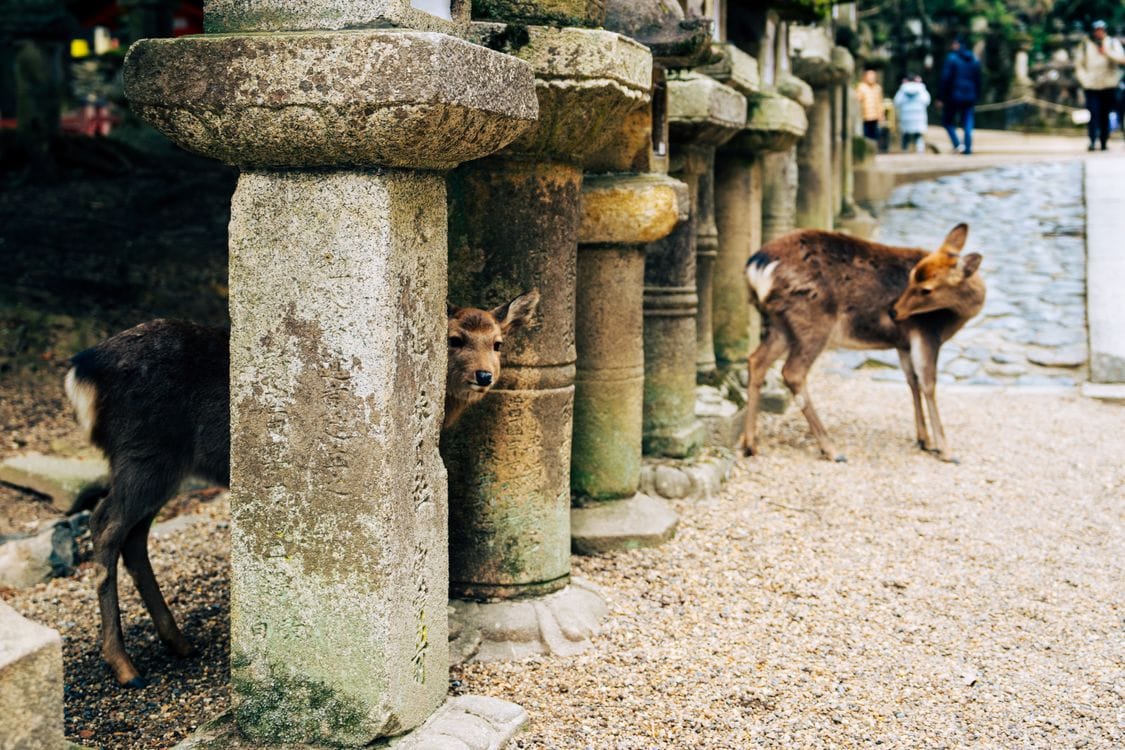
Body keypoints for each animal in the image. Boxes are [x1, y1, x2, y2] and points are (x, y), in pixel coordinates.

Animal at [64, 289, 538, 688]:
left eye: (498, 342)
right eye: (455, 339)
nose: (485, 375)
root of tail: (82, 371)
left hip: (159, 465)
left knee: (134, 537)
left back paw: (178, 642)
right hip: (143, 451)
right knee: (104, 524)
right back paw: (125, 666)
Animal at [741, 223, 984, 464]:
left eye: (925, 287)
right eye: (913, 277)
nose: (893, 311)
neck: (953, 318)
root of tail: (757, 265)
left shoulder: (903, 343)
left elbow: (912, 381)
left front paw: (925, 440)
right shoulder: (926, 332)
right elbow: (929, 384)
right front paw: (946, 451)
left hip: (779, 324)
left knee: (756, 360)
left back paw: (750, 445)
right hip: (812, 320)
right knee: (793, 372)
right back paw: (832, 450)